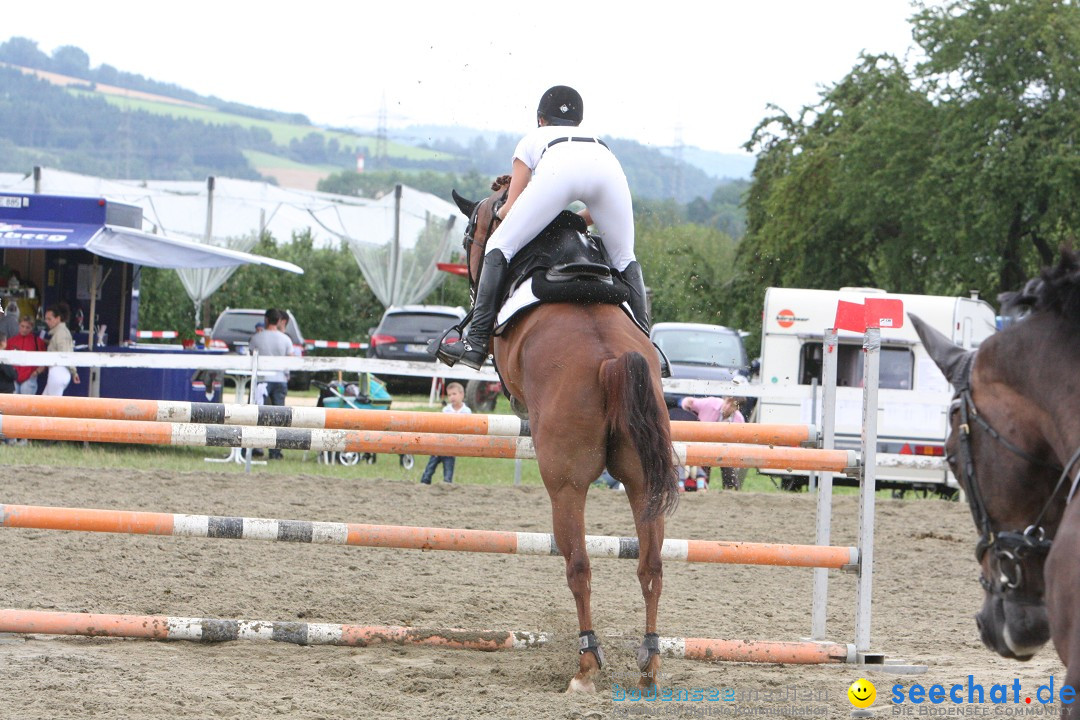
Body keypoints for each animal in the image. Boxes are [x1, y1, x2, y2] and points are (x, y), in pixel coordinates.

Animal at [451, 174, 678, 690]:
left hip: (566, 484)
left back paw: (586, 664)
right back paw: (650, 664)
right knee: (651, 565)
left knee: (579, 564)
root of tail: (614, 360)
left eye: (469, 234)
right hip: (643, 482)